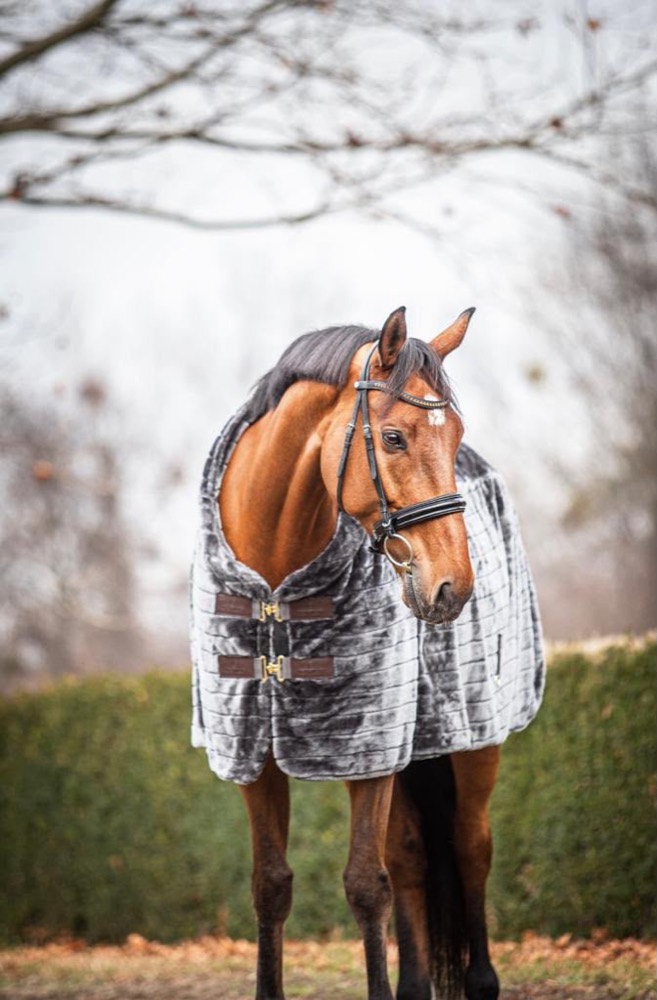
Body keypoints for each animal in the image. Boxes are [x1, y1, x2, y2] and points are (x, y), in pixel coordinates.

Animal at [192, 306, 522, 1000]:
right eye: (393, 437)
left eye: (455, 435)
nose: (452, 587)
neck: (274, 585)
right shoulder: (254, 754)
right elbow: (272, 885)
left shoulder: (371, 749)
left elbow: (367, 886)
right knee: (413, 855)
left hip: (476, 740)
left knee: (470, 846)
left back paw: (480, 981)